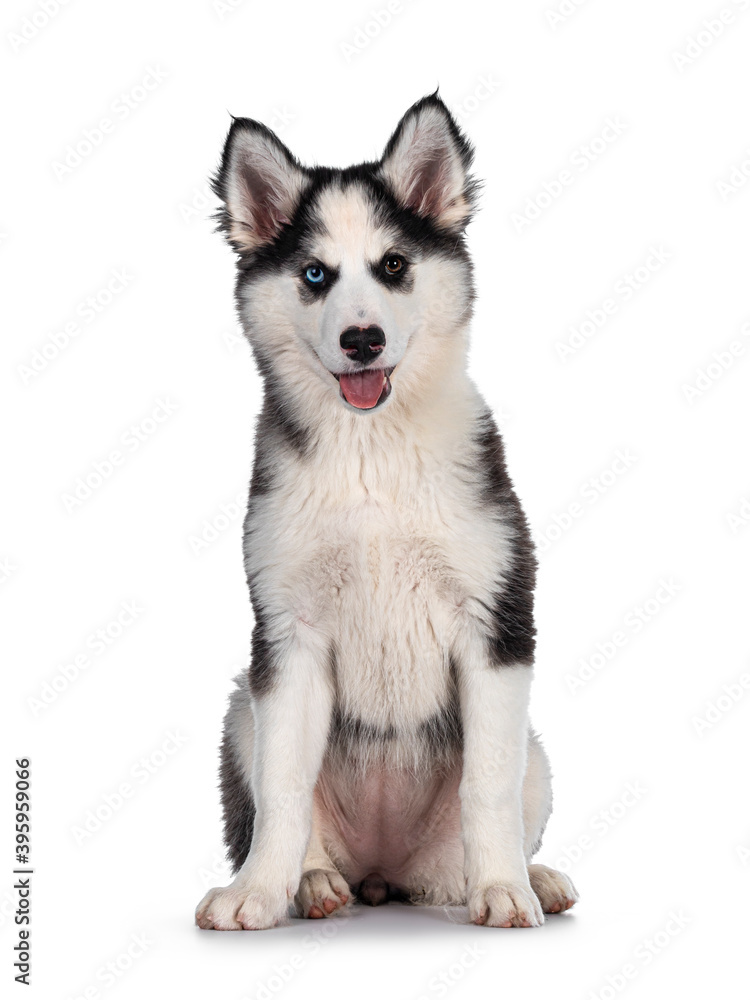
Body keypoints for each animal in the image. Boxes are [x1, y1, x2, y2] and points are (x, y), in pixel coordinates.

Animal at [195, 92, 580, 928]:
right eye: (314, 274)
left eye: (394, 266)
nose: (363, 340)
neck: (370, 451)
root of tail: (384, 872)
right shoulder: (288, 636)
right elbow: (283, 788)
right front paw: (258, 893)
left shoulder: (497, 623)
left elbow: (488, 782)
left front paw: (504, 890)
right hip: (242, 706)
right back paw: (311, 885)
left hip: (535, 752)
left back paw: (532, 879)